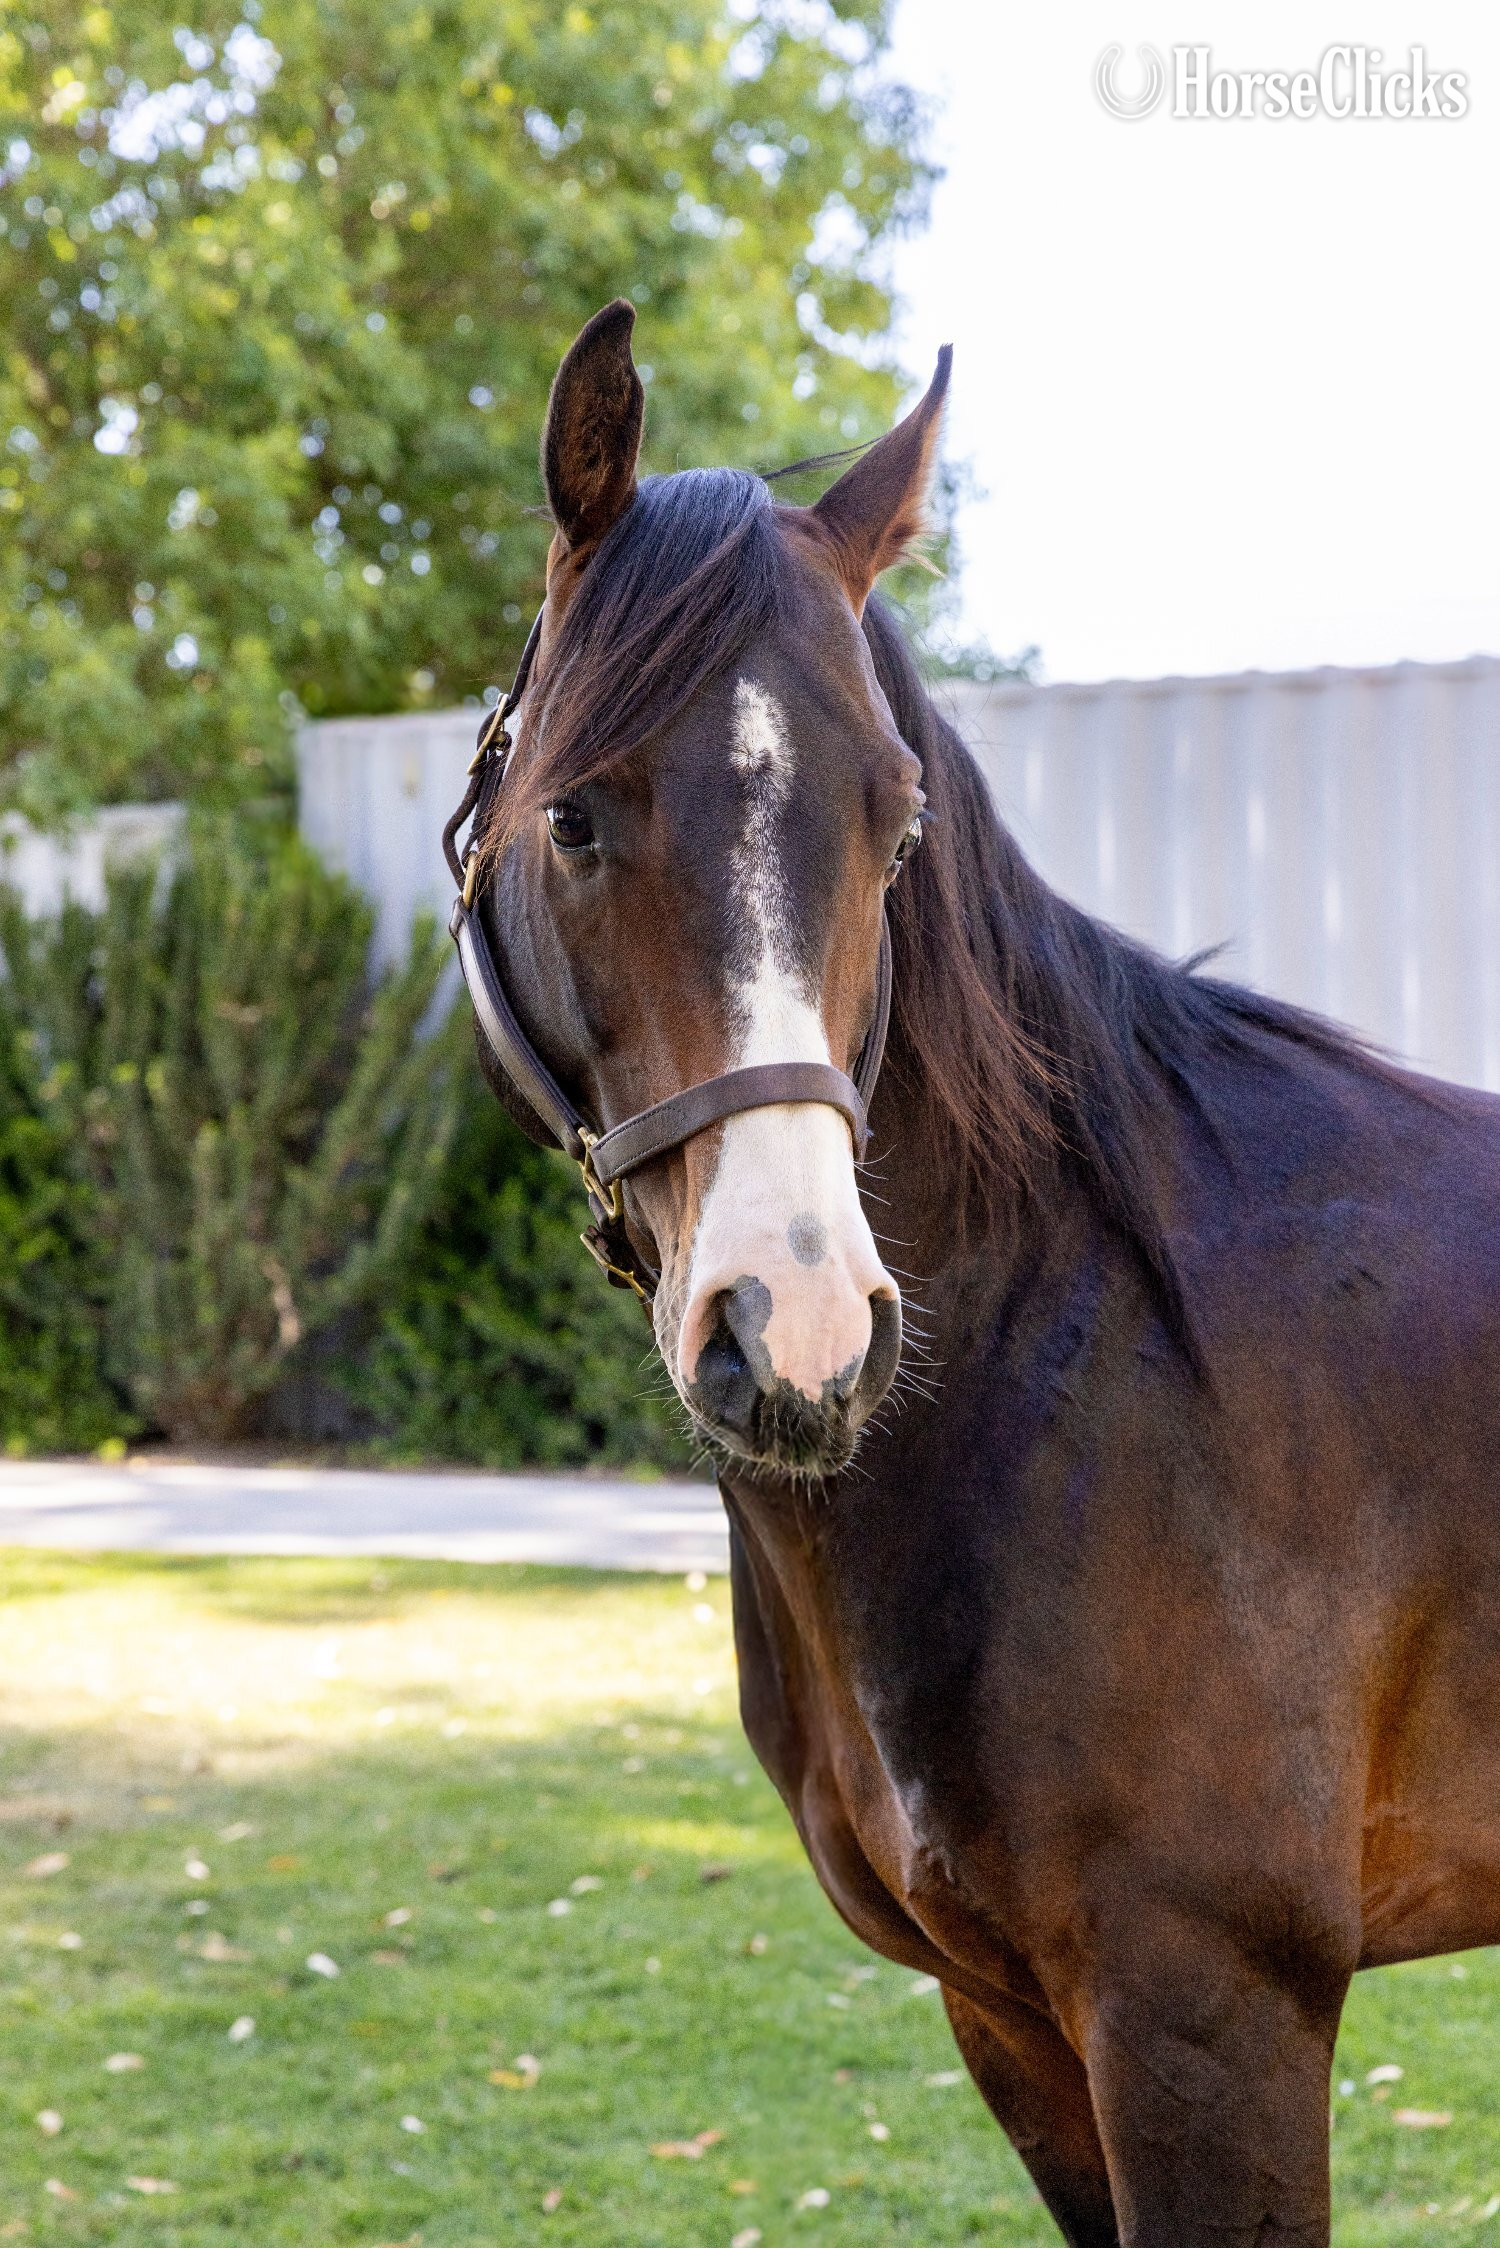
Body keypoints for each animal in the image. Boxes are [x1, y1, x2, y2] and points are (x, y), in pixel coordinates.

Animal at [451, 300, 1500, 2246]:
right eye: (574, 820)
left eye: (896, 821)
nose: (797, 1333)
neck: (1081, 1362)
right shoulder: (1006, 2013)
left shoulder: (1206, 2011)